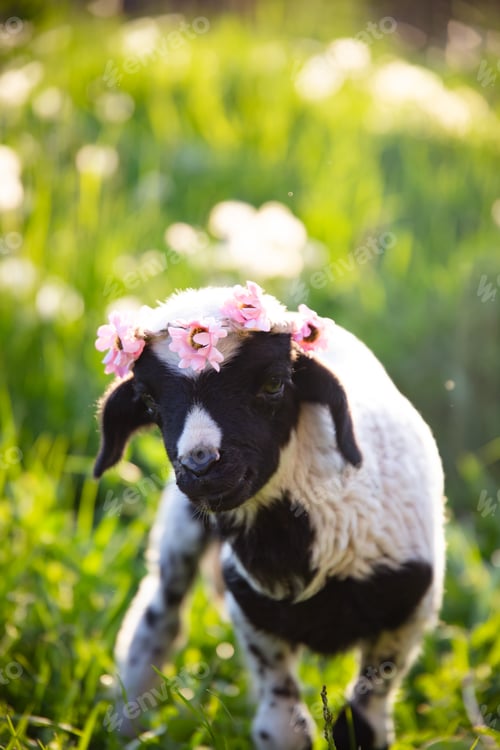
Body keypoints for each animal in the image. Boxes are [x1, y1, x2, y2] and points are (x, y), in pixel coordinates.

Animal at [94, 281, 445, 750]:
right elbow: (283, 727)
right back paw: (129, 721)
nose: (200, 465)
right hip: (178, 533)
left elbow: (361, 724)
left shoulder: (408, 614)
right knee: (158, 618)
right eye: (149, 399)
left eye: (275, 383)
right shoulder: (254, 614)